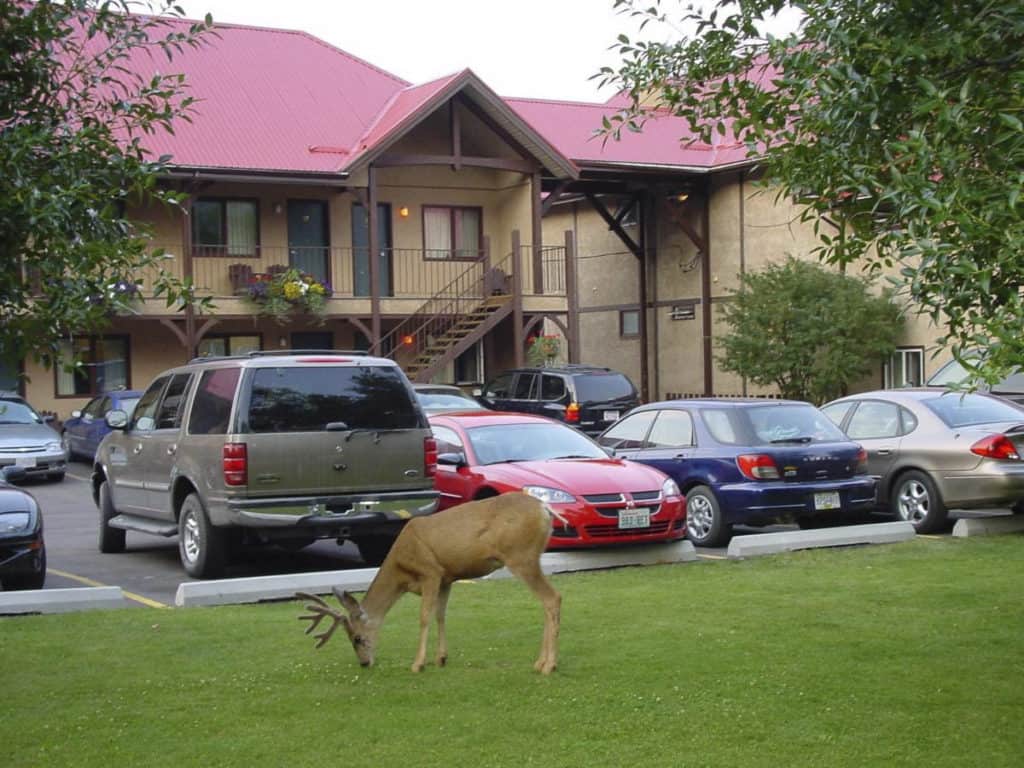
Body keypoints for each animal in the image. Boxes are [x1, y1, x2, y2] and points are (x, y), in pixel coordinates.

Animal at [296, 495, 565, 675]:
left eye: (358, 639)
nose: (364, 663)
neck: (401, 569)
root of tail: (545, 508)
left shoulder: (430, 573)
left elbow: (424, 616)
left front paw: (418, 663)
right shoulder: (447, 578)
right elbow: (440, 615)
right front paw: (441, 658)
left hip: (521, 557)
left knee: (552, 598)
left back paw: (549, 665)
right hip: (531, 557)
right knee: (546, 602)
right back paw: (540, 662)